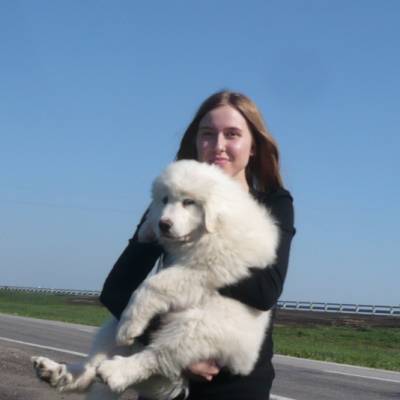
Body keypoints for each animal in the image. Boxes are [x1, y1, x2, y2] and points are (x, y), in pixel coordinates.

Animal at [31, 160, 280, 400]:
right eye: (164, 199)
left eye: (189, 202)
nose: (164, 224)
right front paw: (147, 228)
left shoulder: (203, 268)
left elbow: (153, 284)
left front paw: (129, 326)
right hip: (115, 324)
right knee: (93, 366)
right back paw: (56, 372)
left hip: (197, 327)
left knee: (155, 356)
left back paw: (116, 370)